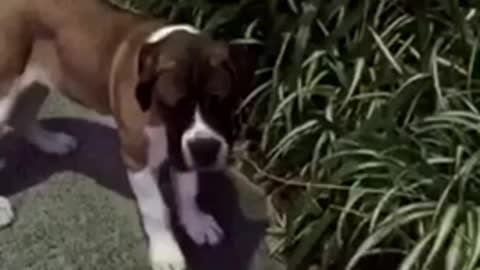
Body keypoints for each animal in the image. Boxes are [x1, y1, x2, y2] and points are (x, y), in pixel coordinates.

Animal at [0, 0, 256, 270]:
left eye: (221, 103)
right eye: (172, 105)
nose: (205, 149)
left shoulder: (182, 150)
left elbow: (187, 190)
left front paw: (195, 222)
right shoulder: (137, 157)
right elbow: (155, 209)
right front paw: (166, 252)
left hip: (40, 82)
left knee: (24, 115)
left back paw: (52, 142)